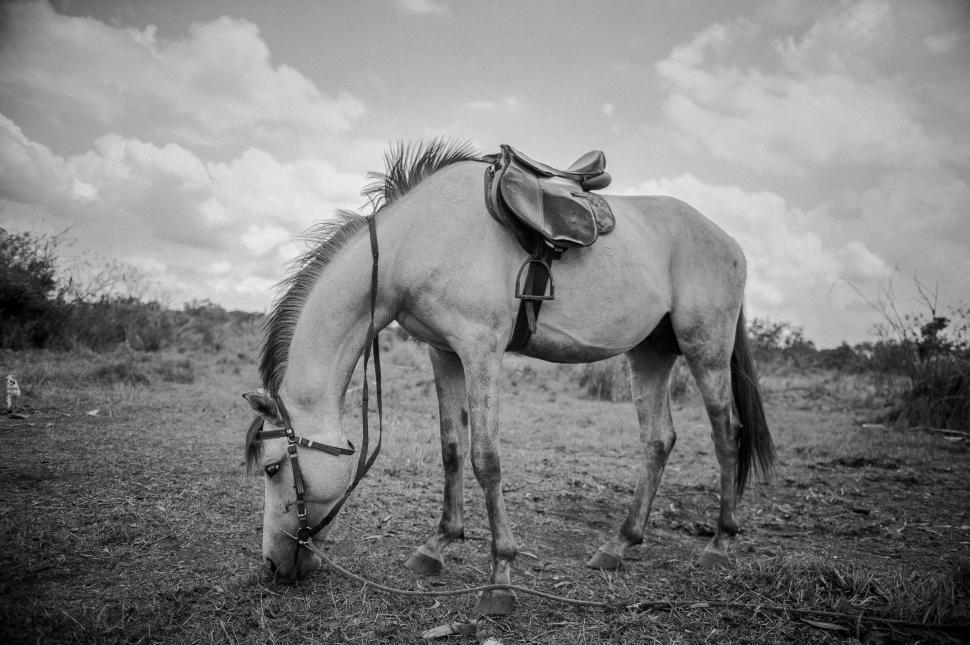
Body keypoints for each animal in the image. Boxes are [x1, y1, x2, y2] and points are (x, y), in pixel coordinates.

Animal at [243, 140, 774, 616]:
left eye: (272, 468)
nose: (273, 565)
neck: (413, 243)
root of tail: (728, 241)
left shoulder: (481, 350)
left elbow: (487, 460)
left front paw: (500, 580)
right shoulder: (443, 353)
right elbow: (451, 448)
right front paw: (437, 546)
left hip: (705, 348)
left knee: (726, 434)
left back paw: (718, 545)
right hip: (651, 354)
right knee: (658, 440)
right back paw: (619, 545)